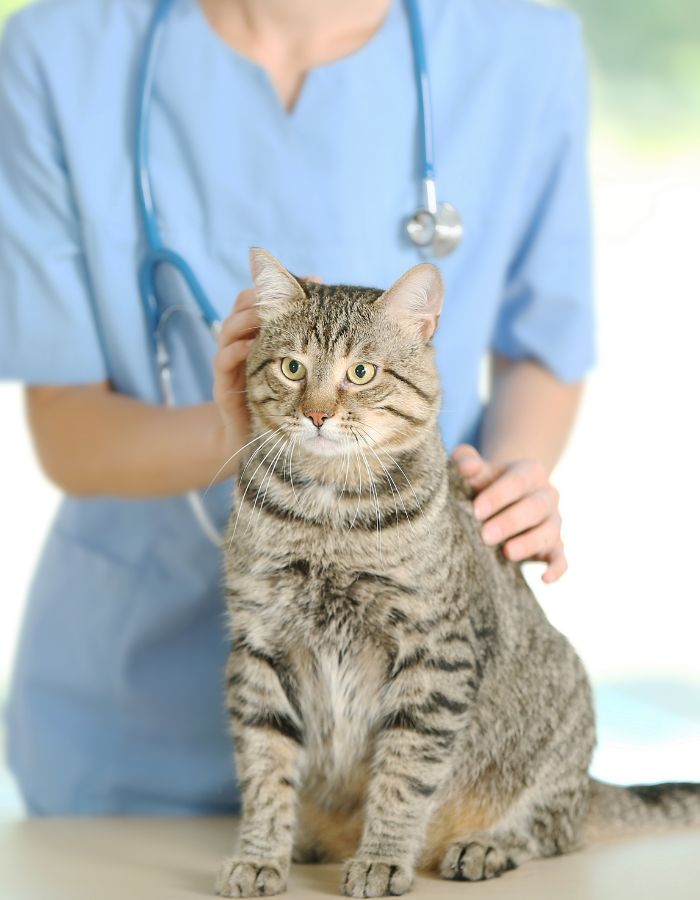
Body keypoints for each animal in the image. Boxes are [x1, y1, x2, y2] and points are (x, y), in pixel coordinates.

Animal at [216, 250, 696, 896]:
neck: (329, 514)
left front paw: (382, 857)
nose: (316, 413)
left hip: (563, 715)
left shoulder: (434, 653)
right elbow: (266, 769)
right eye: (293, 368)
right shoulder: (260, 645)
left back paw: (485, 845)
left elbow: (404, 774)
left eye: (361, 373)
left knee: (553, 830)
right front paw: (260, 854)